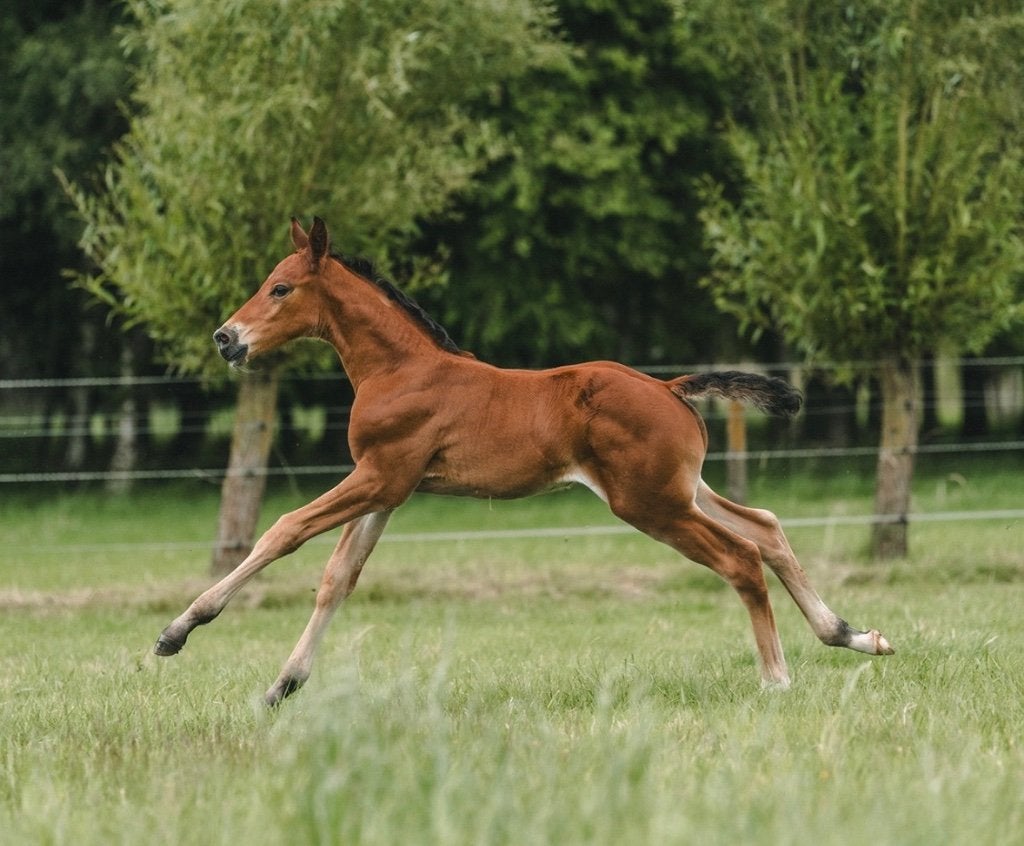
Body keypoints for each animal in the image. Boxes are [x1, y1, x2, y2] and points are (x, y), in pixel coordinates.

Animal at [154, 217, 893, 706]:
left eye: (280, 288)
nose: (226, 338)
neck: (400, 369)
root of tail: (670, 388)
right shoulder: (389, 490)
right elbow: (338, 578)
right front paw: (283, 683)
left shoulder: (378, 475)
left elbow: (282, 532)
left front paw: (178, 631)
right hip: (682, 489)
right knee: (765, 527)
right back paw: (854, 636)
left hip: (649, 502)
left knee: (740, 556)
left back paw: (777, 679)